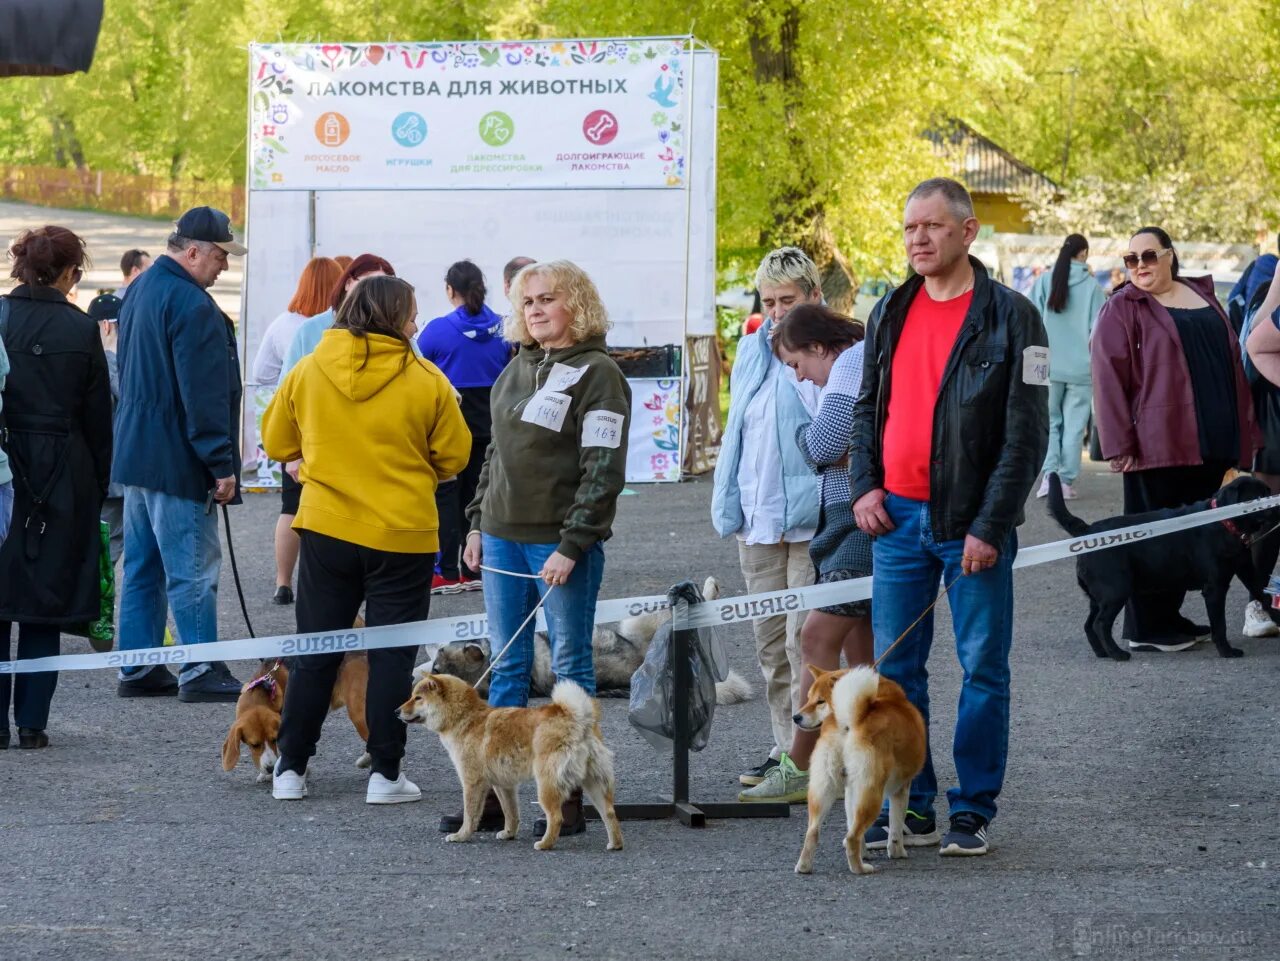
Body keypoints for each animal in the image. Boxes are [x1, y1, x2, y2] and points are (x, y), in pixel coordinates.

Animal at [396, 670, 622, 854]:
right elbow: (510, 812)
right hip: (594, 783)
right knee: (610, 813)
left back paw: (545, 844)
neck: (465, 719)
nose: (396, 711)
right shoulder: (503, 785)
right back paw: (615, 844)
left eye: (417, 698)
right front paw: (508, 833)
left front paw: (462, 835)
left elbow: (470, 814)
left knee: (556, 817)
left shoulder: (472, 782)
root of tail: (579, 720)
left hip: (547, 784)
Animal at [793, 665, 926, 875]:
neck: (887, 696)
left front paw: (865, 852)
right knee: (851, 837)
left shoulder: (850, 790)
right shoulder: (901, 788)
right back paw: (860, 869)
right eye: (808, 699)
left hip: (823, 789)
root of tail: (848, 722)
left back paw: (804, 866)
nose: (796, 717)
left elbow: (851, 821)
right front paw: (897, 852)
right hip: (872, 792)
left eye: (819, 701)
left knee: (813, 832)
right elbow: (896, 827)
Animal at [1049, 473, 1280, 660]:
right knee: (1100, 624)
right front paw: (1226, 651)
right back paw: (1117, 654)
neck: (1223, 522)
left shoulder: (1247, 571)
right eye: (1259, 496)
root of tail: (1087, 532)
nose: (1278, 505)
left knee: (1089, 624)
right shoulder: (1214, 587)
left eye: (1269, 492)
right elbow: (1219, 625)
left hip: (1098, 595)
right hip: (1116, 590)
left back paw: (1101, 652)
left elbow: (1264, 594)